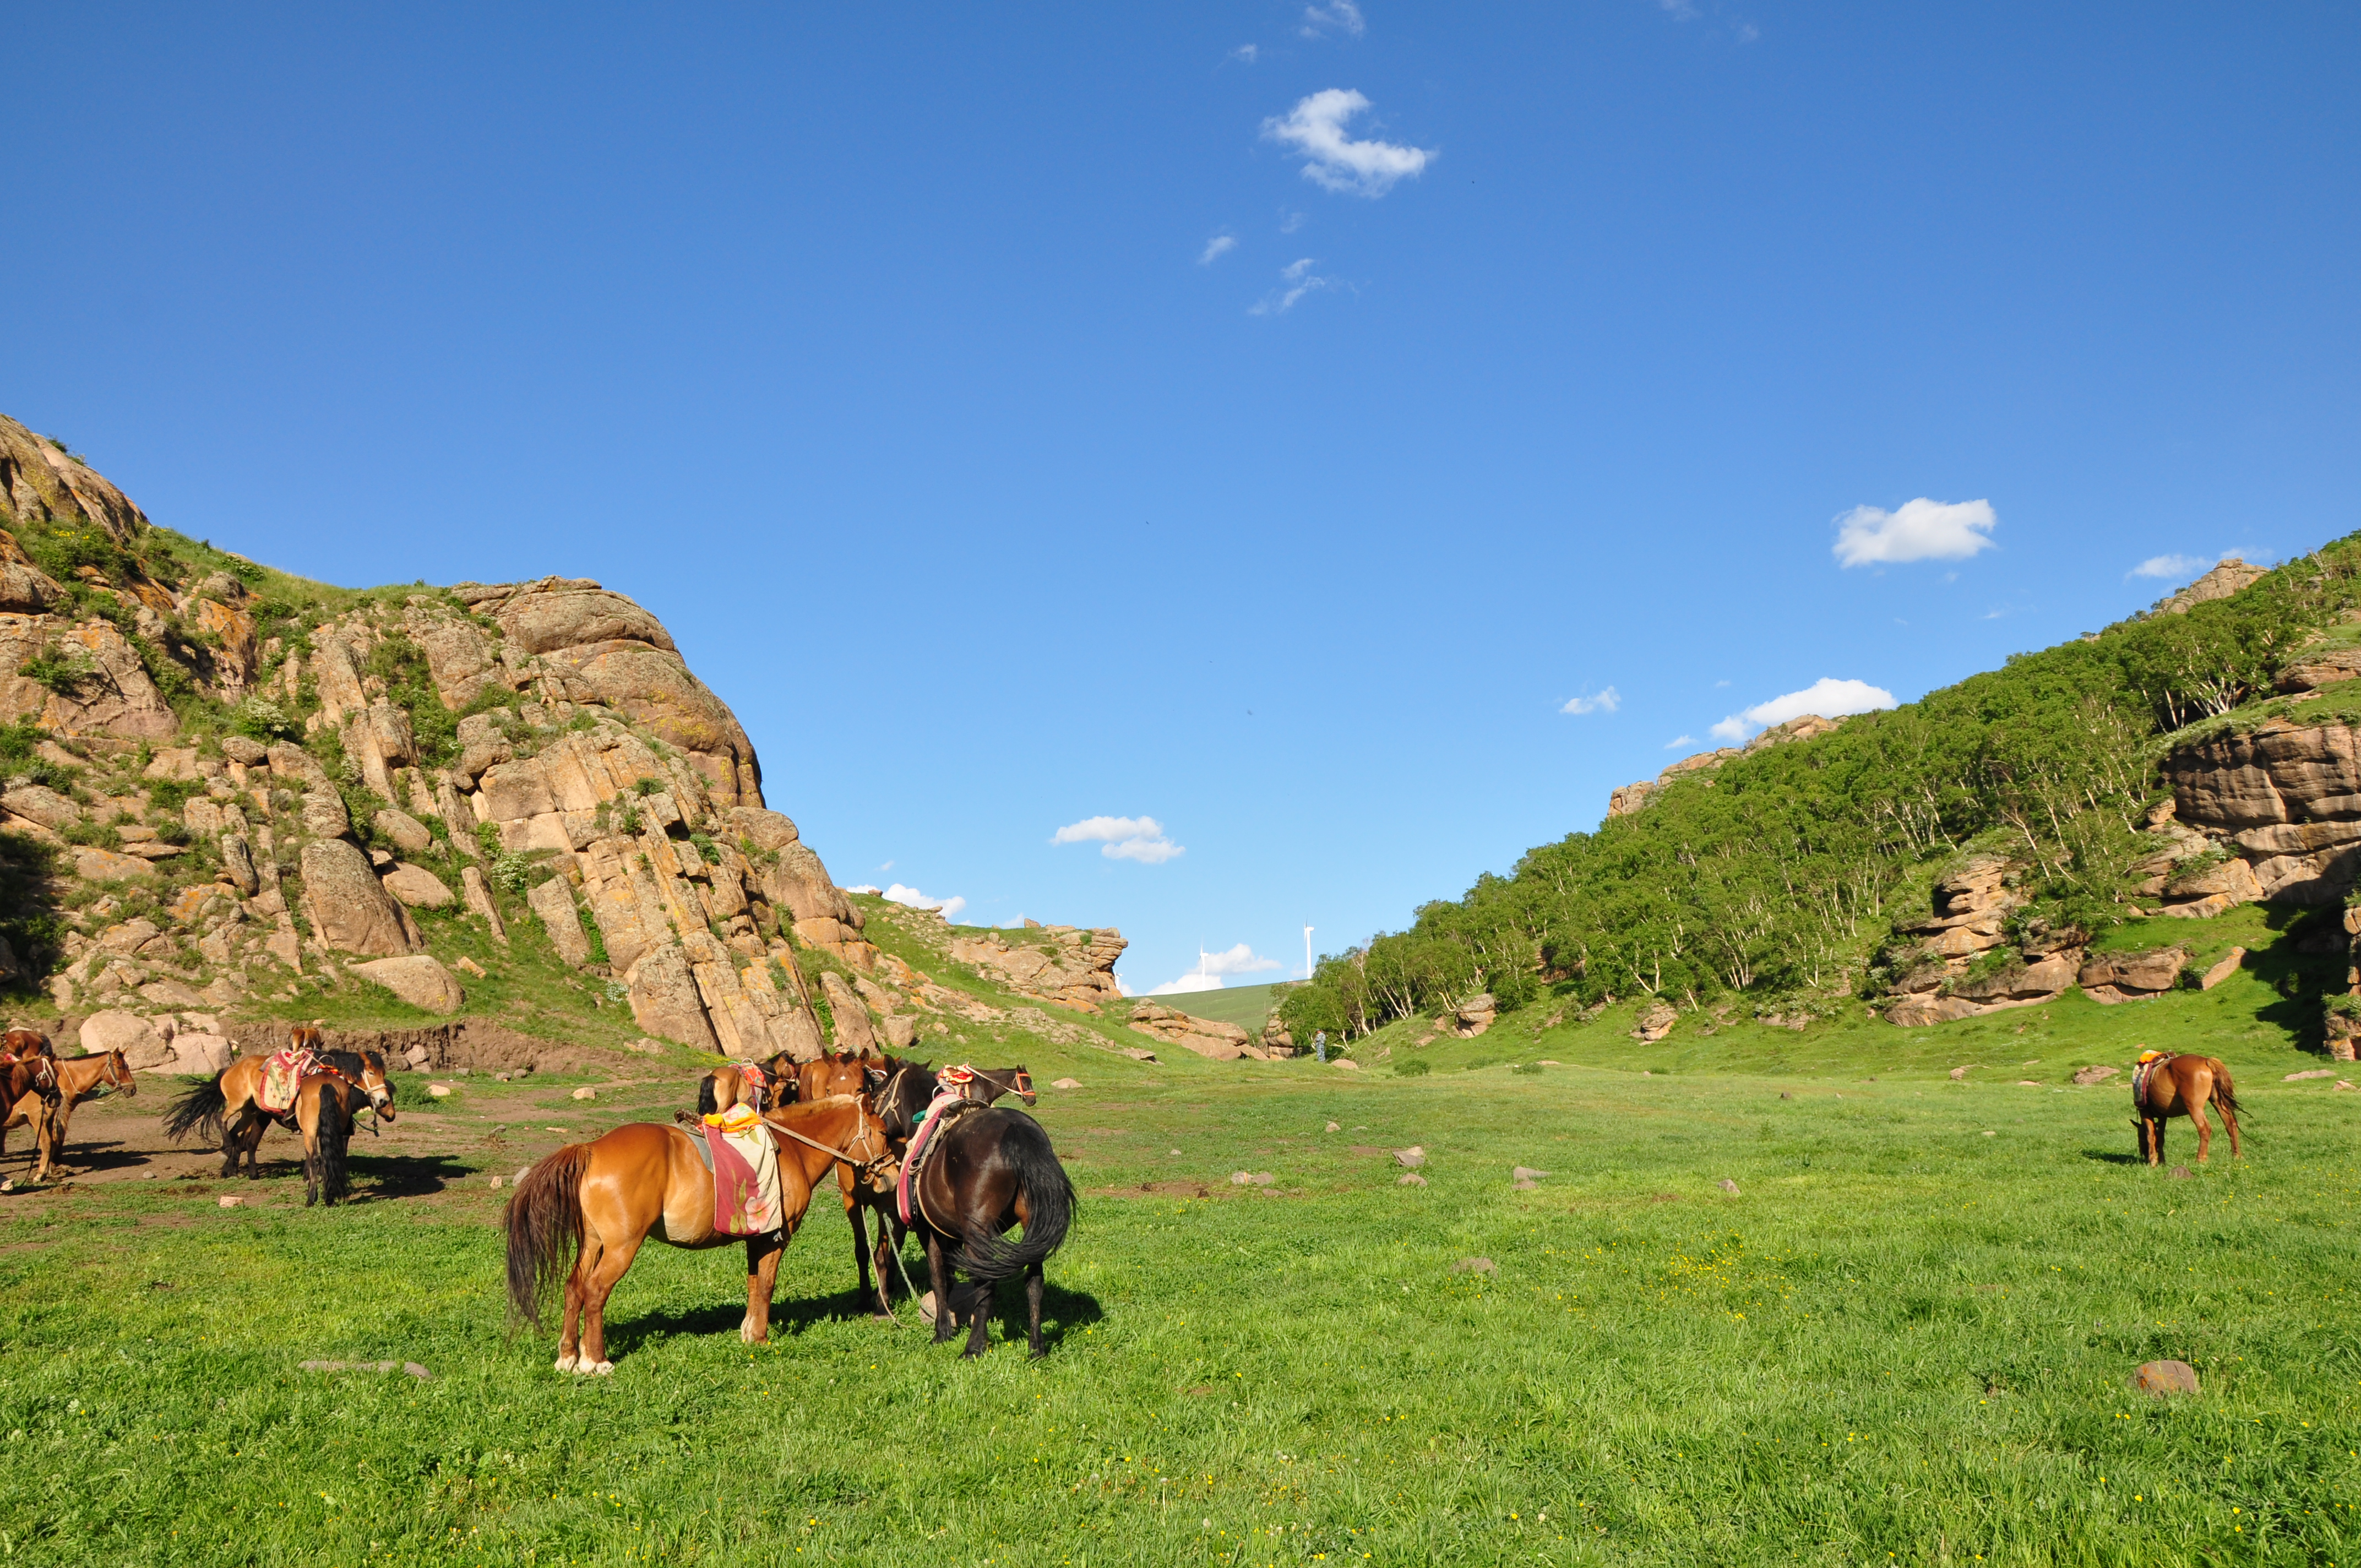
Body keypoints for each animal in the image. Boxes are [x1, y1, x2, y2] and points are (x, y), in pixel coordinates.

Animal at [507, 1091, 892, 1369]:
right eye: (884, 1132)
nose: (888, 1174)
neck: (793, 1150)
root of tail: (590, 1149)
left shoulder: (756, 1239)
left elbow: (754, 1284)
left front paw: (748, 1331)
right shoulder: (776, 1238)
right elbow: (767, 1285)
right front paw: (761, 1337)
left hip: (594, 1244)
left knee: (574, 1288)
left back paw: (569, 1355)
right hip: (621, 1248)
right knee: (595, 1291)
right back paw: (596, 1360)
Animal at [873, 1058, 1076, 1351]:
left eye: (879, 1093)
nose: (877, 1128)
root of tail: (1018, 1131)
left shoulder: (929, 1230)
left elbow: (938, 1277)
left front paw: (942, 1331)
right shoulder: (951, 1234)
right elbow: (948, 1277)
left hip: (977, 1232)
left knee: (985, 1282)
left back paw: (974, 1346)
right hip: (1031, 1225)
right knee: (1034, 1281)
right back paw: (1036, 1346)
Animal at [2134, 1053, 2238, 1162]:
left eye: (2139, 1136)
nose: (2144, 1154)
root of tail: (2206, 1061)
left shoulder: (2145, 1112)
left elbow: (2151, 1135)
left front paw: (2153, 1161)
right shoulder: (2162, 1116)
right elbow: (2160, 1138)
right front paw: (2162, 1162)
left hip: (2195, 1108)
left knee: (2204, 1128)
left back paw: (2200, 1159)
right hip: (2218, 1102)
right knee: (2231, 1124)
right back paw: (2236, 1156)